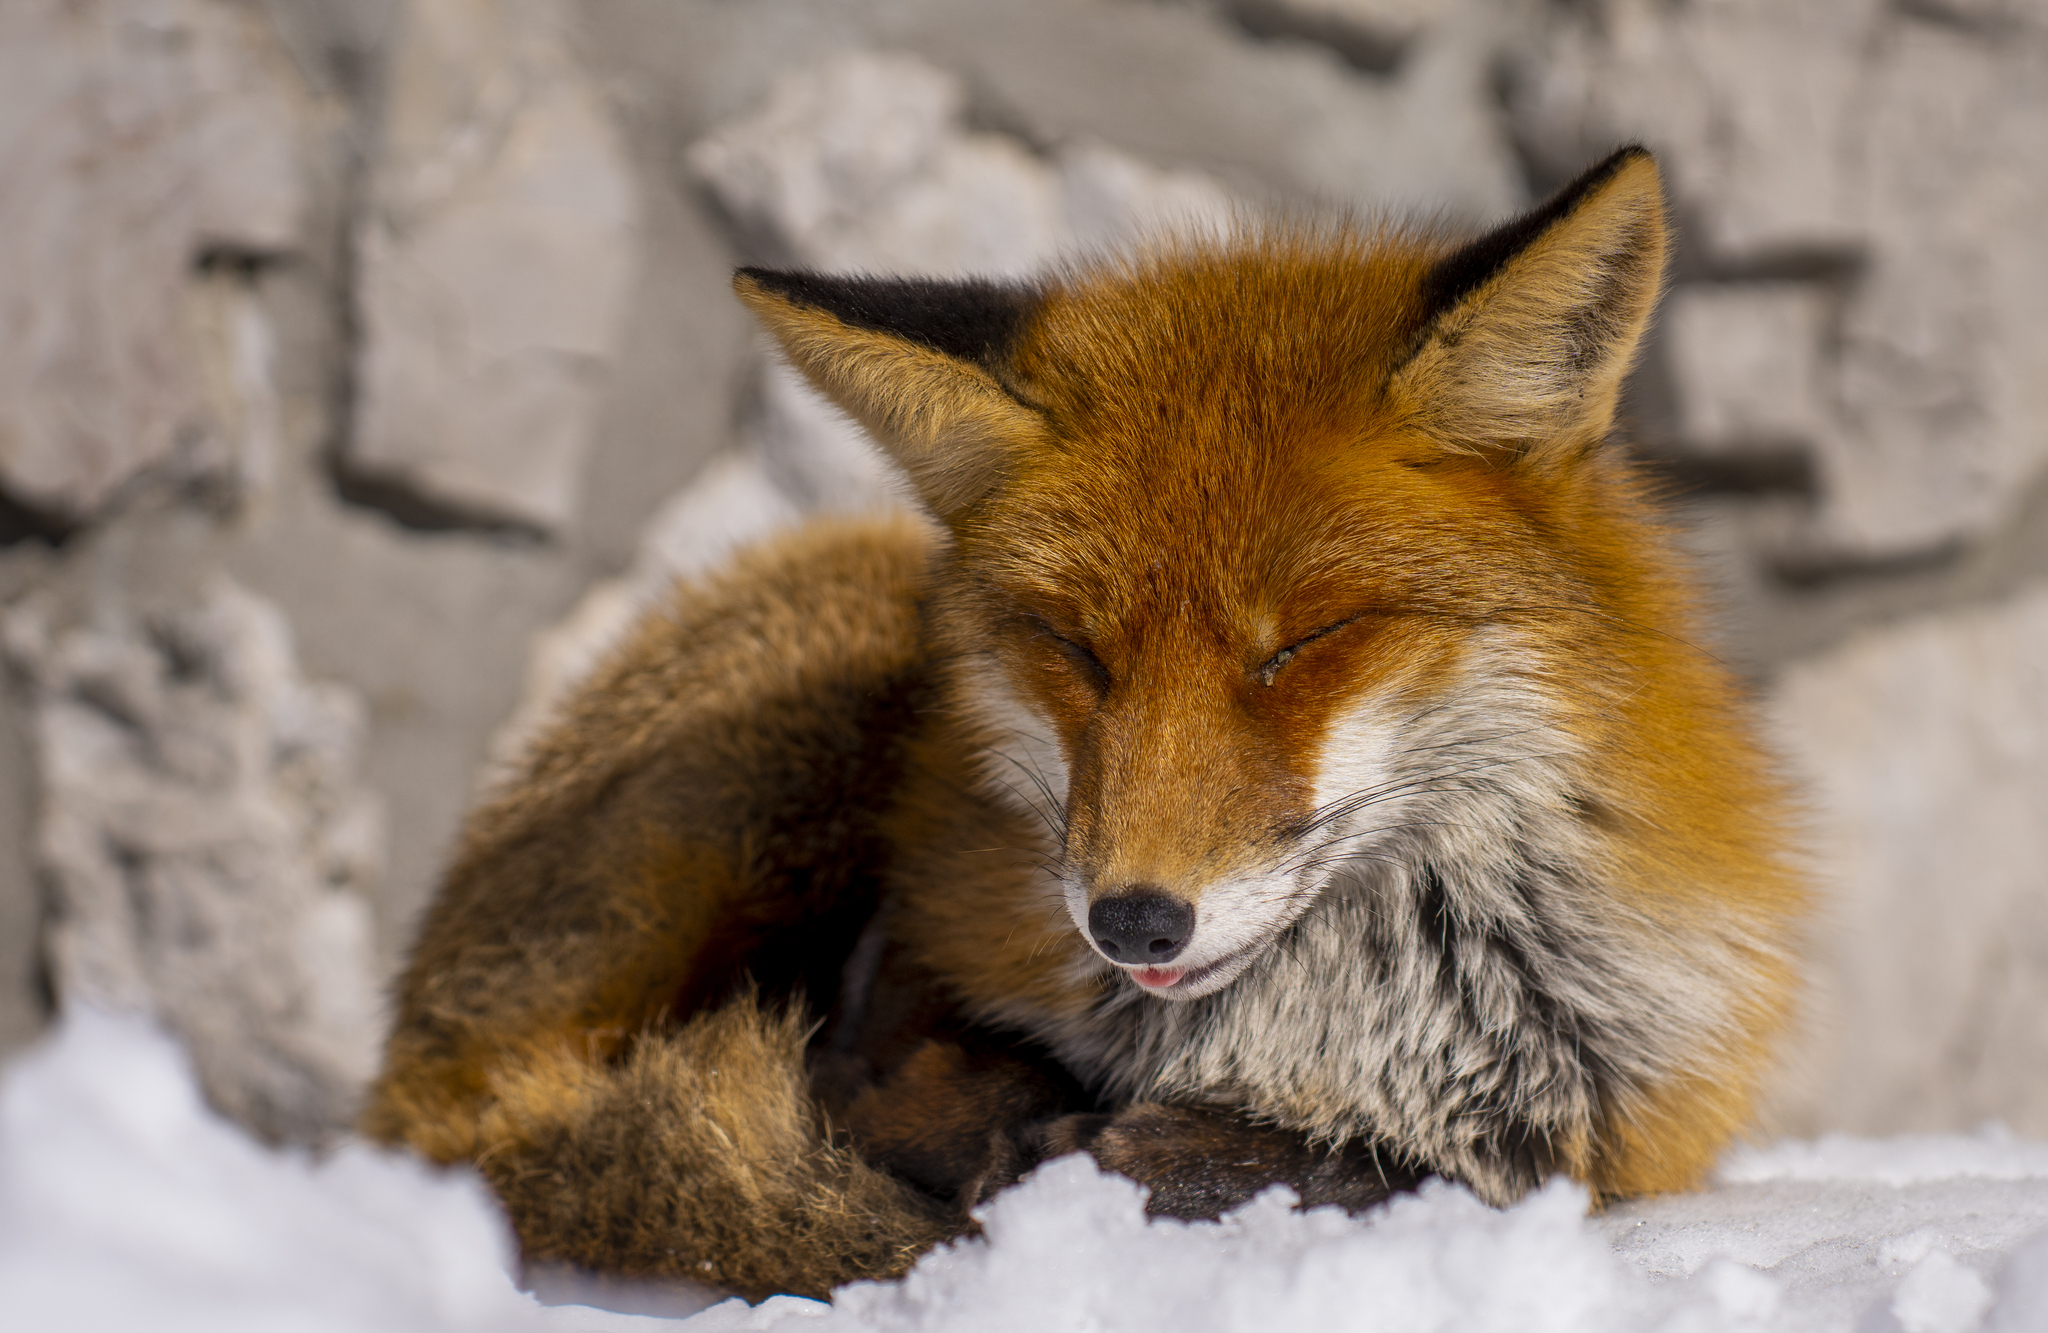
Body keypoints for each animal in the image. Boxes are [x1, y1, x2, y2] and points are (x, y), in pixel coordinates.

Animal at [360, 148, 1802, 1302]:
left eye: (1301, 643)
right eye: (1076, 650)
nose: (1133, 921)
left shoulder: (1600, 1120)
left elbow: (1414, 1165)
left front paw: (1165, 1164)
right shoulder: (908, 977)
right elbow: (921, 1084)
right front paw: (1014, 1150)